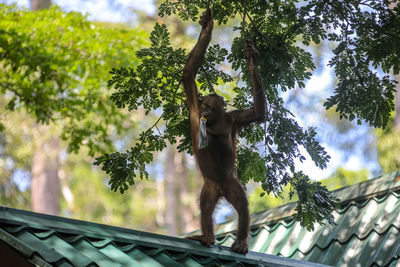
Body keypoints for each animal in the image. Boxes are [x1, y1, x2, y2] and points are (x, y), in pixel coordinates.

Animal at [182, 6, 266, 255]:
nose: (205, 111)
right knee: (205, 208)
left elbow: (258, 114)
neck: (214, 121)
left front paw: (252, 57)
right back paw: (208, 237)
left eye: (210, 106)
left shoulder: (235, 118)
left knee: (242, 205)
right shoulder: (193, 107)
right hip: (209, 187)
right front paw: (207, 25)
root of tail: (220, 190)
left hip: (231, 183)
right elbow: (188, 74)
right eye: (204, 107)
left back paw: (240, 241)